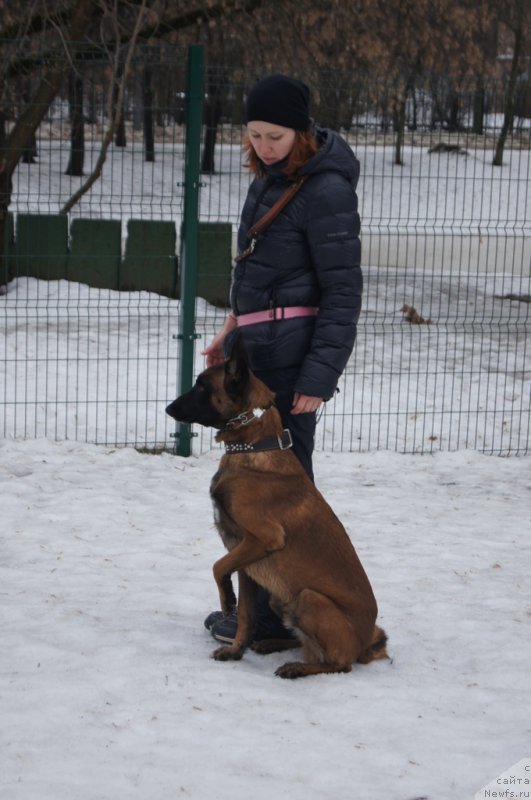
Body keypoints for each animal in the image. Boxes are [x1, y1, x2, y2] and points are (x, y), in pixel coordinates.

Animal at [168, 334, 388, 680]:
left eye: (202, 386)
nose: (168, 408)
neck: (253, 448)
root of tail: (367, 643)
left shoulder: (262, 539)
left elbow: (217, 567)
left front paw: (226, 599)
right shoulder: (245, 560)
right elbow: (246, 616)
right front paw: (236, 651)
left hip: (308, 597)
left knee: (340, 664)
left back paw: (298, 668)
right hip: (279, 599)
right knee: (304, 641)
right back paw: (272, 643)